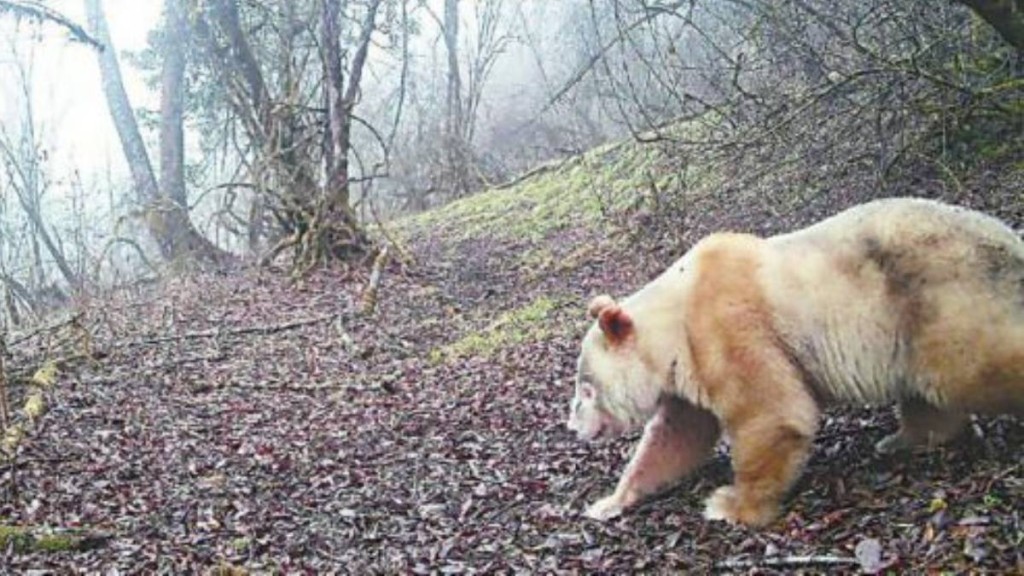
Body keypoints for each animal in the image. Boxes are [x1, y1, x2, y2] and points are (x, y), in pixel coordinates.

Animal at [566, 196, 1024, 527]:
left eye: (586, 388)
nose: (573, 427)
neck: (676, 313)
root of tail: (1010, 241)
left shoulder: (728, 328)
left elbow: (773, 412)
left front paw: (729, 505)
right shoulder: (688, 366)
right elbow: (676, 436)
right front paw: (608, 502)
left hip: (939, 295)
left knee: (972, 366)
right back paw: (903, 439)